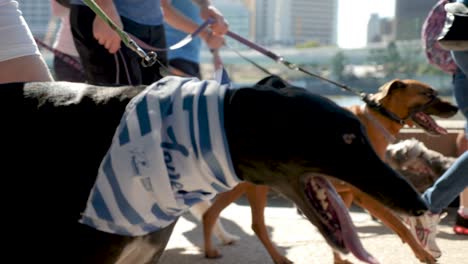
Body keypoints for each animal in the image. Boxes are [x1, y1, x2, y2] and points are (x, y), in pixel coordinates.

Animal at [201, 78, 458, 264]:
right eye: (429, 94)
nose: (456, 107)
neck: (376, 118)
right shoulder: (364, 193)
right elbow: (399, 224)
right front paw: (423, 254)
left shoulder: (342, 193)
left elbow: (341, 226)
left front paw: (340, 259)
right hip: (255, 186)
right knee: (256, 224)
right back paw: (278, 258)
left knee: (212, 212)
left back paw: (211, 250)